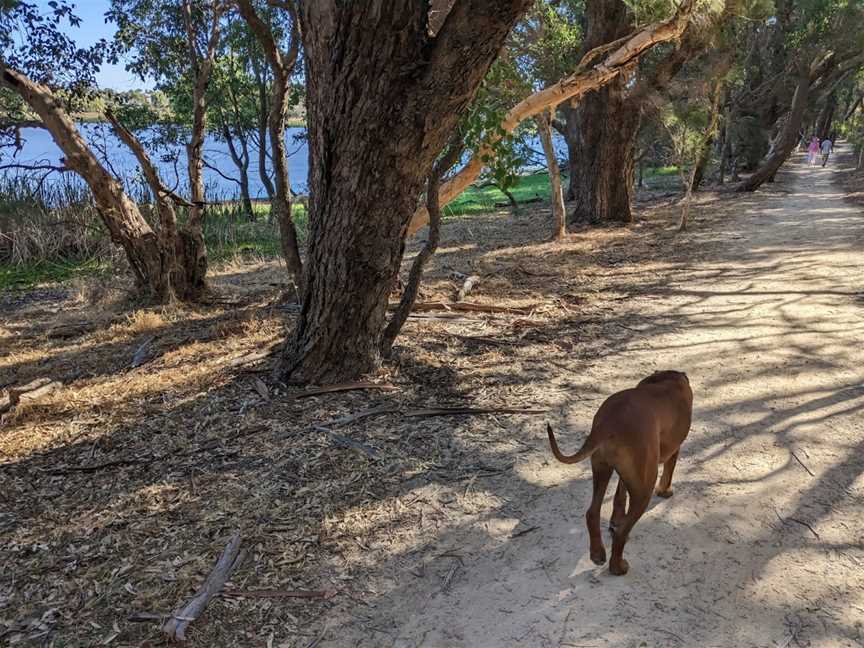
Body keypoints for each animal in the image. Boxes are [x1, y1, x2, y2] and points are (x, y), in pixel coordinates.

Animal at [548, 372, 696, 576]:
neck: (667, 379)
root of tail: (610, 422)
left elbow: (620, 493)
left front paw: (617, 518)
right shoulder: (674, 450)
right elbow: (669, 471)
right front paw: (665, 491)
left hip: (602, 469)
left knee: (592, 512)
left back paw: (597, 553)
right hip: (643, 489)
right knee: (621, 535)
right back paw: (617, 566)